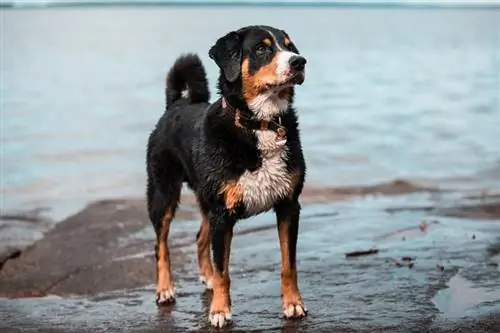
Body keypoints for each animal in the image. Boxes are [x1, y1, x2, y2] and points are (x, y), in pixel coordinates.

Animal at [146, 24, 306, 326]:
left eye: (291, 47)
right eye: (262, 49)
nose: (299, 62)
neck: (258, 125)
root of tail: (175, 105)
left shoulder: (288, 205)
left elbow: (288, 264)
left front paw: (293, 304)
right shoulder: (222, 214)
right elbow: (224, 271)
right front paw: (219, 311)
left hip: (206, 199)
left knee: (200, 238)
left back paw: (205, 277)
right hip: (163, 194)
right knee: (161, 246)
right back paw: (164, 289)